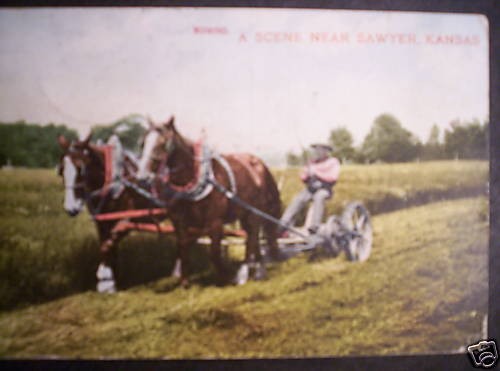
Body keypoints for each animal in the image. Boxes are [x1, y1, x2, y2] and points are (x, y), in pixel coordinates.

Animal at [57, 134, 169, 294]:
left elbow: (107, 246)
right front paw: (112, 281)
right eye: (61, 170)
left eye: (81, 169)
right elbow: (108, 246)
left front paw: (104, 279)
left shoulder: (126, 221)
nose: (71, 208)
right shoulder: (102, 223)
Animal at [137, 117, 284, 286]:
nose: (142, 177)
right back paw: (258, 271)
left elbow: (214, 253)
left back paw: (244, 274)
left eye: (162, 142)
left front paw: (225, 277)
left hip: (254, 212)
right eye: (143, 142)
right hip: (244, 214)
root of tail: (260, 164)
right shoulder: (180, 222)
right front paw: (184, 282)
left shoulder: (215, 222)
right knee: (252, 238)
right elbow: (182, 248)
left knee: (252, 237)